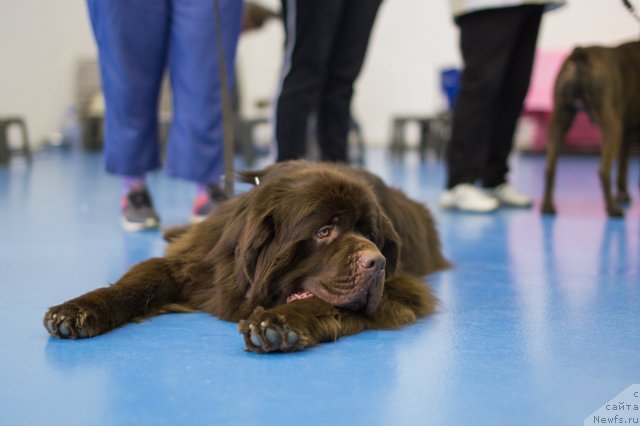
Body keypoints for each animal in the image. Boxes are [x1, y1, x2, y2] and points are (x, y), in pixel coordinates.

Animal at [43, 160, 450, 352]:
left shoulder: (400, 290)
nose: (377, 262)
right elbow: (139, 281)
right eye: (323, 232)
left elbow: (322, 303)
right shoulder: (197, 264)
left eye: (370, 235)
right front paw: (76, 310)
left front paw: (280, 323)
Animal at [540, 39, 640, 216]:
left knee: (549, 167)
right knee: (603, 170)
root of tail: (582, 53)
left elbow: (623, 167)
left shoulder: (627, 133)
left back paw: (548, 206)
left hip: (560, 119)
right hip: (611, 126)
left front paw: (623, 194)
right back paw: (612, 209)